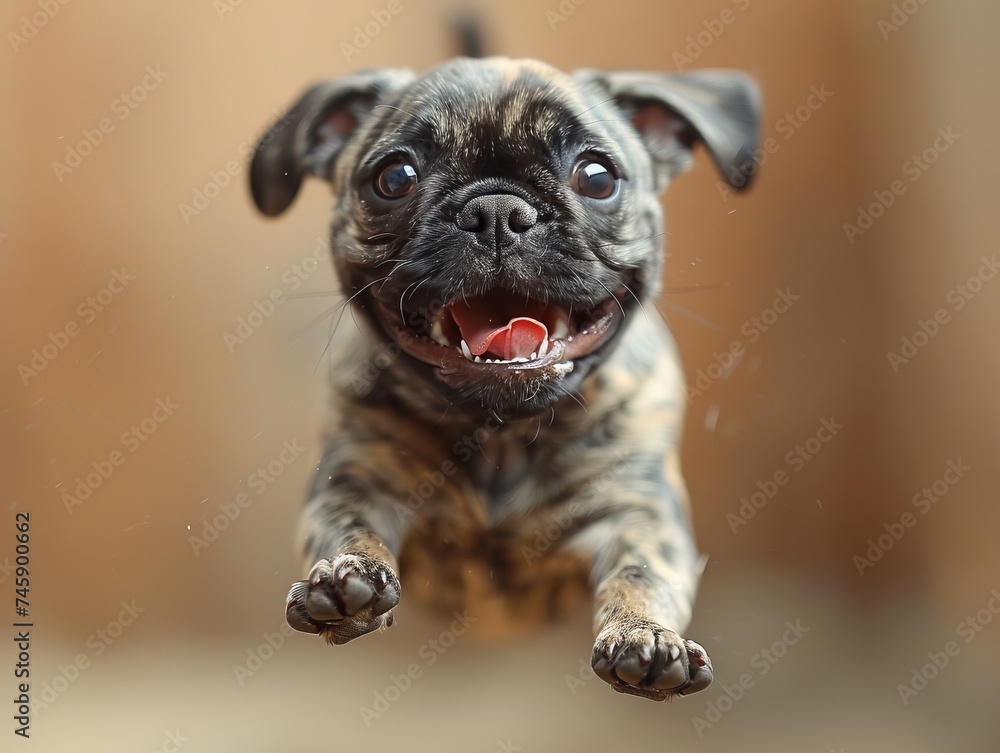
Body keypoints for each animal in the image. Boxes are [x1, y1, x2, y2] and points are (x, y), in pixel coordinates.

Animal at [248, 57, 756, 700]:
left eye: (597, 178)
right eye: (395, 178)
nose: (495, 212)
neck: (501, 433)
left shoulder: (636, 509)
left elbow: (642, 569)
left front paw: (647, 635)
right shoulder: (359, 480)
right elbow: (347, 525)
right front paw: (345, 579)